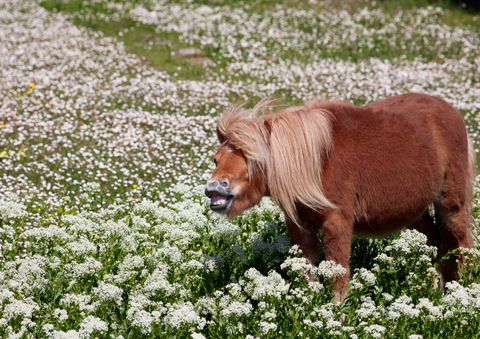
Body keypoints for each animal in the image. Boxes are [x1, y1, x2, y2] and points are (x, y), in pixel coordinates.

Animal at [204, 93, 474, 300]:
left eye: (251, 159)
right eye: (216, 159)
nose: (214, 189)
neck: (317, 162)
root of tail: (450, 110)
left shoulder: (336, 222)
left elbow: (338, 275)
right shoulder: (300, 226)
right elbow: (306, 272)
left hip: (451, 205)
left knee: (460, 246)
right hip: (414, 213)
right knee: (433, 245)